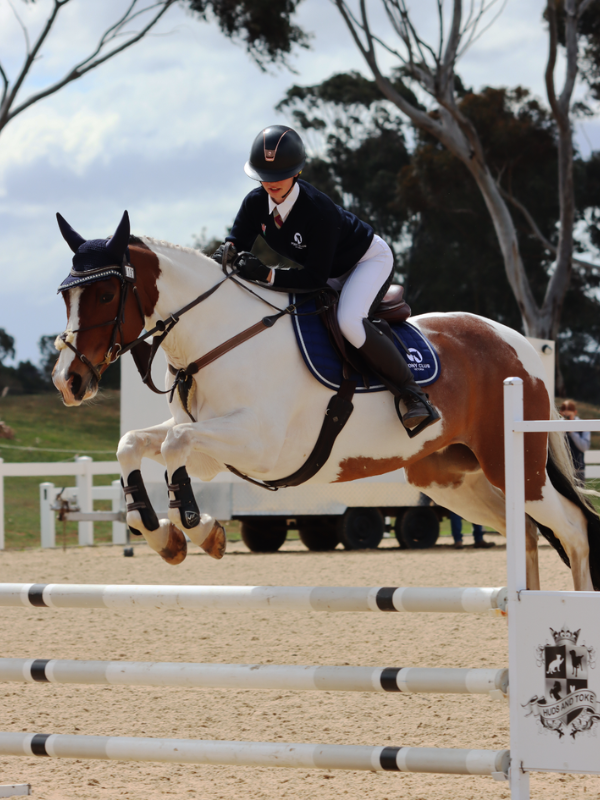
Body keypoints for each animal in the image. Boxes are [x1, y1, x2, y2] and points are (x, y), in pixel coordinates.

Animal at [52, 211, 600, 592]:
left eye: (106, 295)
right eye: (65, 296)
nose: (68, 381)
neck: (221, 337)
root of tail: (518, 343)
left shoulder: (261, 446)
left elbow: (172, 447)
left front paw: (196, 528)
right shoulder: (214, 451)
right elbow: (134, 444)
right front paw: (164, 534)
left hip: (514, 465)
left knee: (572, 529)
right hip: (454, 477)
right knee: (525, 530)